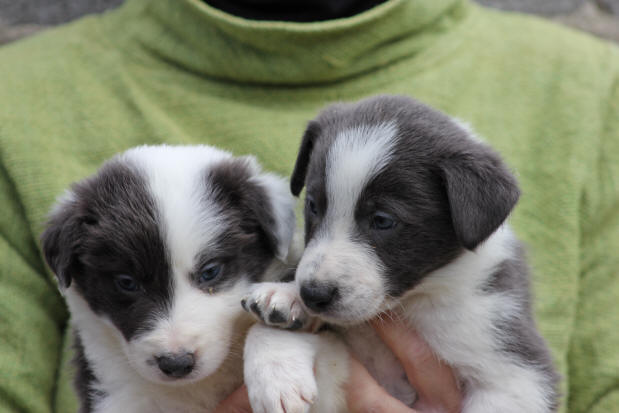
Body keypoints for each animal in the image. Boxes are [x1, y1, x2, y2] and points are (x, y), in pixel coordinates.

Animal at [243, 95, 560, 412]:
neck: (415, 301)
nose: (312, 294)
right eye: (313, 206)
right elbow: (262, 333)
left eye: (383, 220)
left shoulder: (515, 370)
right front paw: (277, 355)